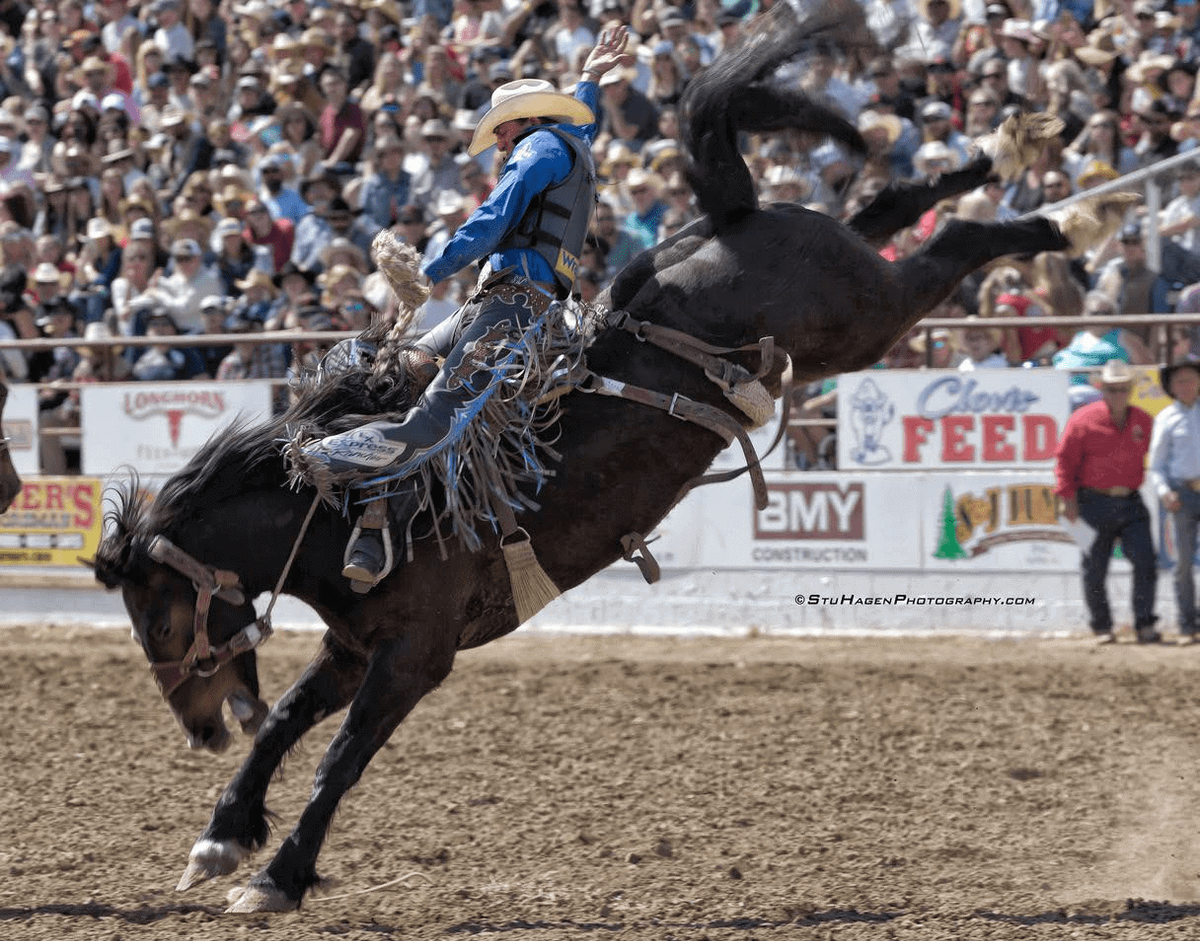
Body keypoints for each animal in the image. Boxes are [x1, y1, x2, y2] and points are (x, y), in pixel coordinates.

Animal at [91, 0, 1123, 912]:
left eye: (163, 620)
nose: (198, 730)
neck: (346, 502)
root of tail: (725, 222)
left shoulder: (414, 656)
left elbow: (338, 758)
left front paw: (278, 874)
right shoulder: (353, 646)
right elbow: (286, 726)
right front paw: (221, 835)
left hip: (866, 319)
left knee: (951, 240)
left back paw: (1060, 220)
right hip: (849, 278)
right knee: (896, 203)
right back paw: (1017, 150)